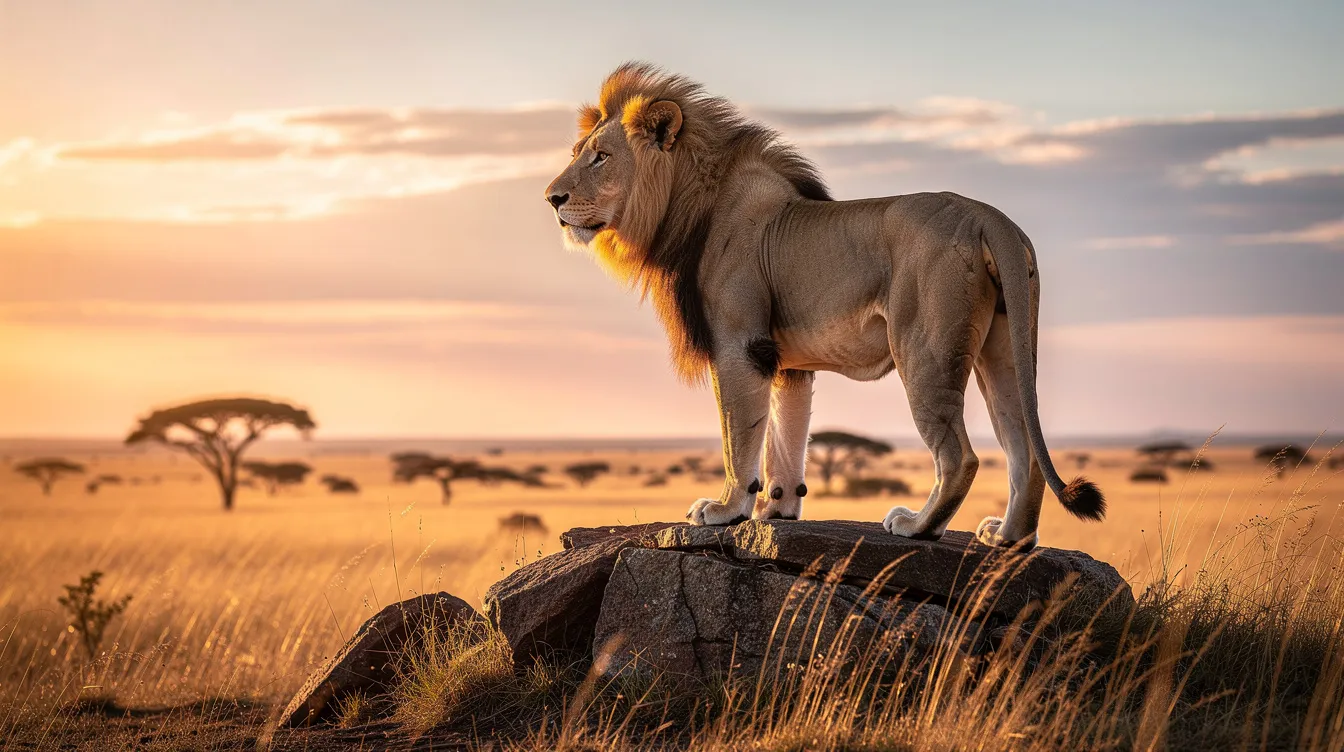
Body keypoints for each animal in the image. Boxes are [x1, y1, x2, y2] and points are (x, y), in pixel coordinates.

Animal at [544, 63, 1105, 549]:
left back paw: (917, 525)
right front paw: (777, 508)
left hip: (924, 350)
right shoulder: (783, 360)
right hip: (1004, 350)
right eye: (577, 151)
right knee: (1023, 448)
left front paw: (726, 509)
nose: (552, 198)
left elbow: (737, 437)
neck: (687, 206)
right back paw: (1008, 537)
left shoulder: (739, 344)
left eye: (601, 156)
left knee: (960, 457)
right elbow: (785, 437)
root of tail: (990, 217)